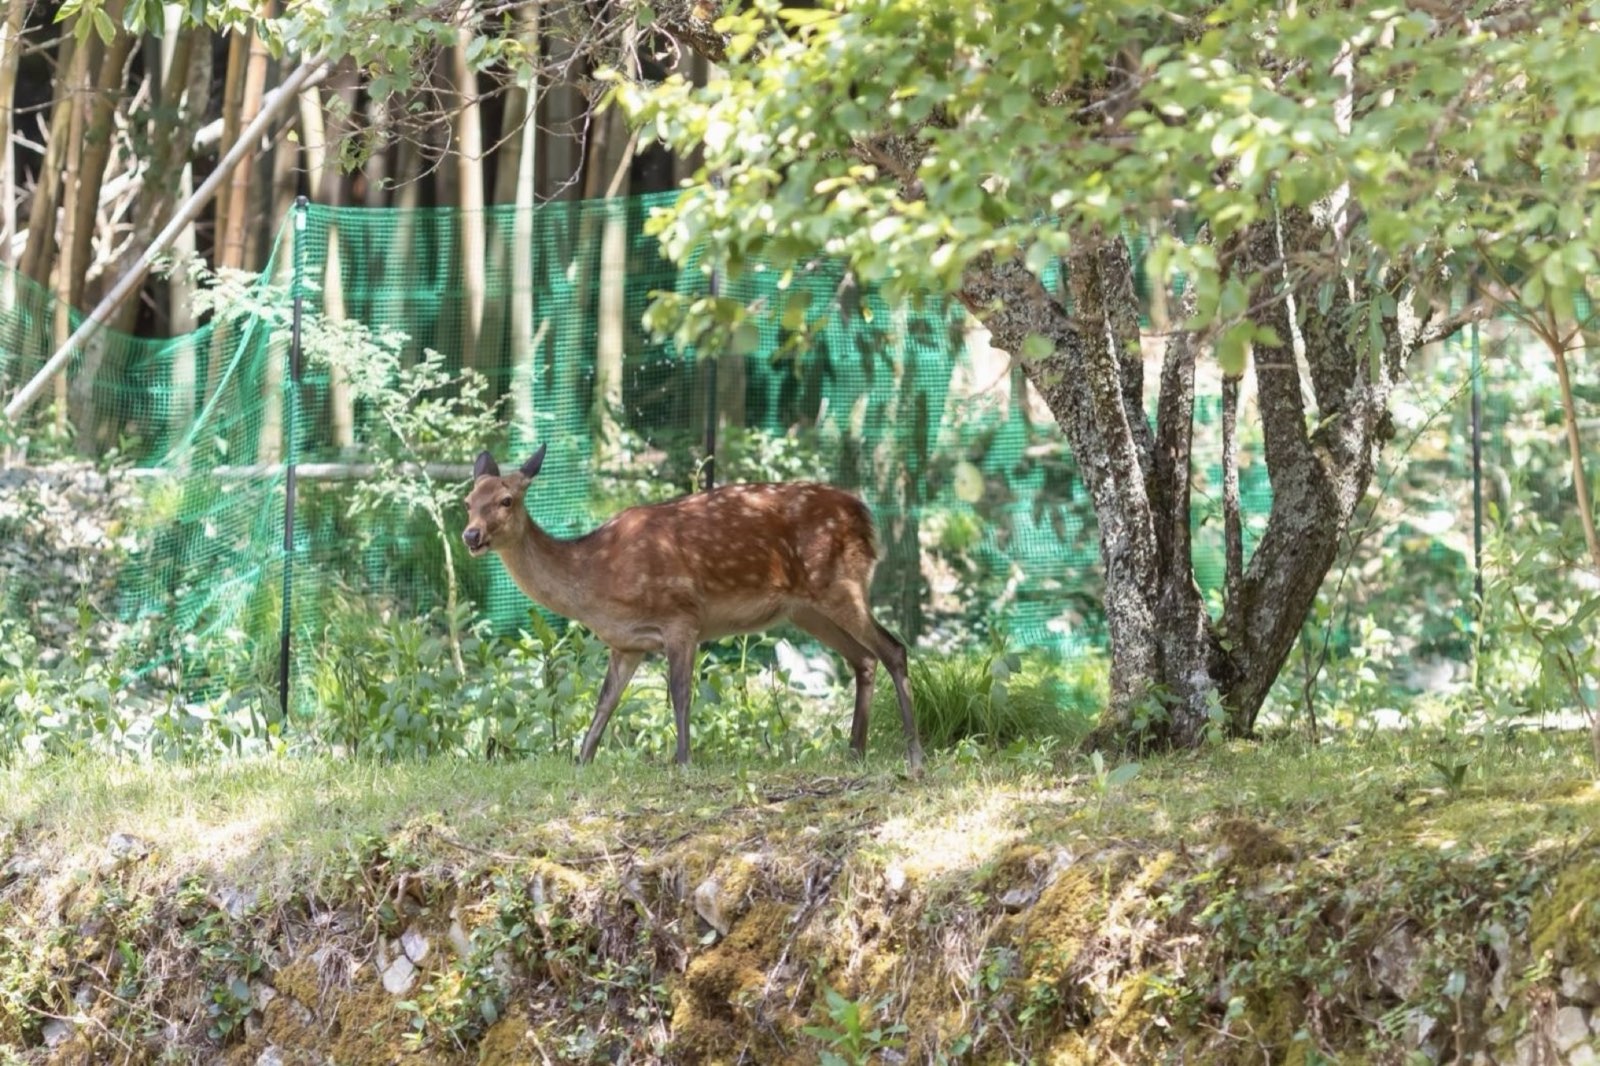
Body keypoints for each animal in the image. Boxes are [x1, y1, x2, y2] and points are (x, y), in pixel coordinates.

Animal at [462, 445, 924, 772]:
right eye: (468, 500)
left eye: (506, 500)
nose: (471, 535)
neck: (595, 579)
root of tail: (866, 516)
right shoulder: (626, 643)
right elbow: (605, 702)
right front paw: (581, 761)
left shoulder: (681, 617)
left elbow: (680, 693)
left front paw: (683, 761)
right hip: (805, 609)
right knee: (864, 658)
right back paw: (854, 750)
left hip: (841, 584)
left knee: (893, 648)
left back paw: (913, 752)